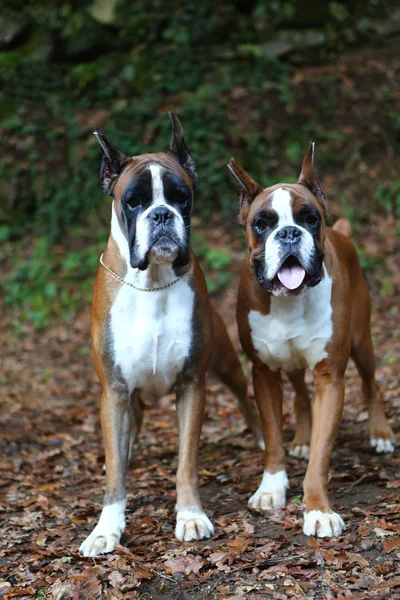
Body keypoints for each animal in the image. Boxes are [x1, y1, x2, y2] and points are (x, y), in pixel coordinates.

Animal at [79, 113, 264, 556]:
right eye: (134, 201)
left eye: (181, 197)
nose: (161, 215)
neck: (152, 284)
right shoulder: (114, 391)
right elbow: (114, 474)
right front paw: (106, 529)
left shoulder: (192, 385)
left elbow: (186, 463)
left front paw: (191, 516)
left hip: (227, 366)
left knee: (245, 399)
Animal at [228, 146, 394, 540]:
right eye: (262, 223)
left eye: (310, 218)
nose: (289, 233)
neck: (290, 300)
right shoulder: (264, 373)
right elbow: (273, 437)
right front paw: (271, 487)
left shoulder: (330, 379)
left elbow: (321, 453)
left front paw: (318, 509)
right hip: (288, 363)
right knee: (301, 396)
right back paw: (301, 439)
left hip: (362, 343)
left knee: (371, 384)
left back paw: (379, 432)